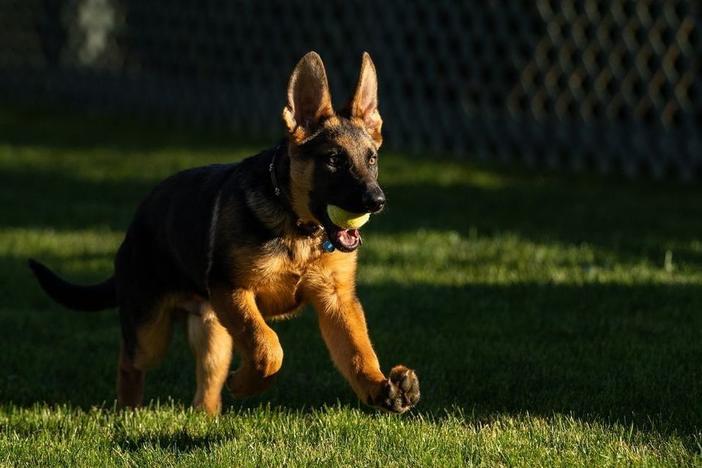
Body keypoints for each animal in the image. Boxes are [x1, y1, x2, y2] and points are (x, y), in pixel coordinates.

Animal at [30, 51, 420, 414]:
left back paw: (206, 416)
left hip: (213, 332)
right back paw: (128, 412)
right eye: (335, 160)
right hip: (150, 330)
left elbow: (358, 351)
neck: (298, 228)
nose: (377, 201)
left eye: (372, 159)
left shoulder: (336, 301)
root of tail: (136, 223)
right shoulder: (233, 290)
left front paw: (381, 387)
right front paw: (247, 384)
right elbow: (268, 345)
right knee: (130, 361)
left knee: (207, 382)